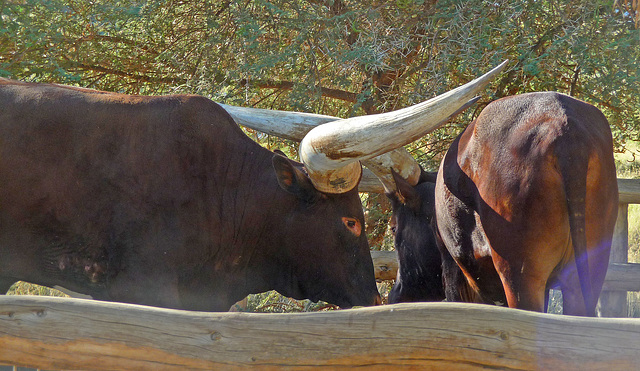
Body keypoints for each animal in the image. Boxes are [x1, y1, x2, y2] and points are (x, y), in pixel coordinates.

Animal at [390, 91, 620, 316]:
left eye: (393, 228)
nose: (396, 293)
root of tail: (565, 126)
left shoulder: (457, 275)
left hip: (519, 274)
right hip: (587, 271)